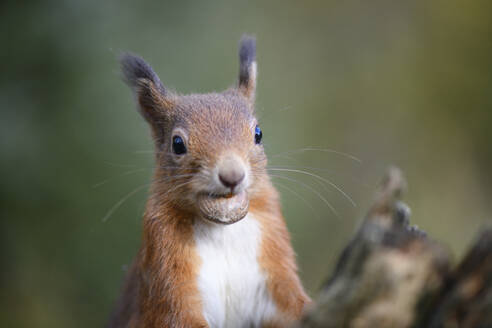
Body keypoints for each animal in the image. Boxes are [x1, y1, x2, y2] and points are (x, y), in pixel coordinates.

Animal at [109, 36, 310, 328]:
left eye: (258, 133)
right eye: (177, 144)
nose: (232, 175)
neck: (223, 230)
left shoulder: (273, 257)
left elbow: (292, 304)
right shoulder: (166, 274)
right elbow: (178, 317)